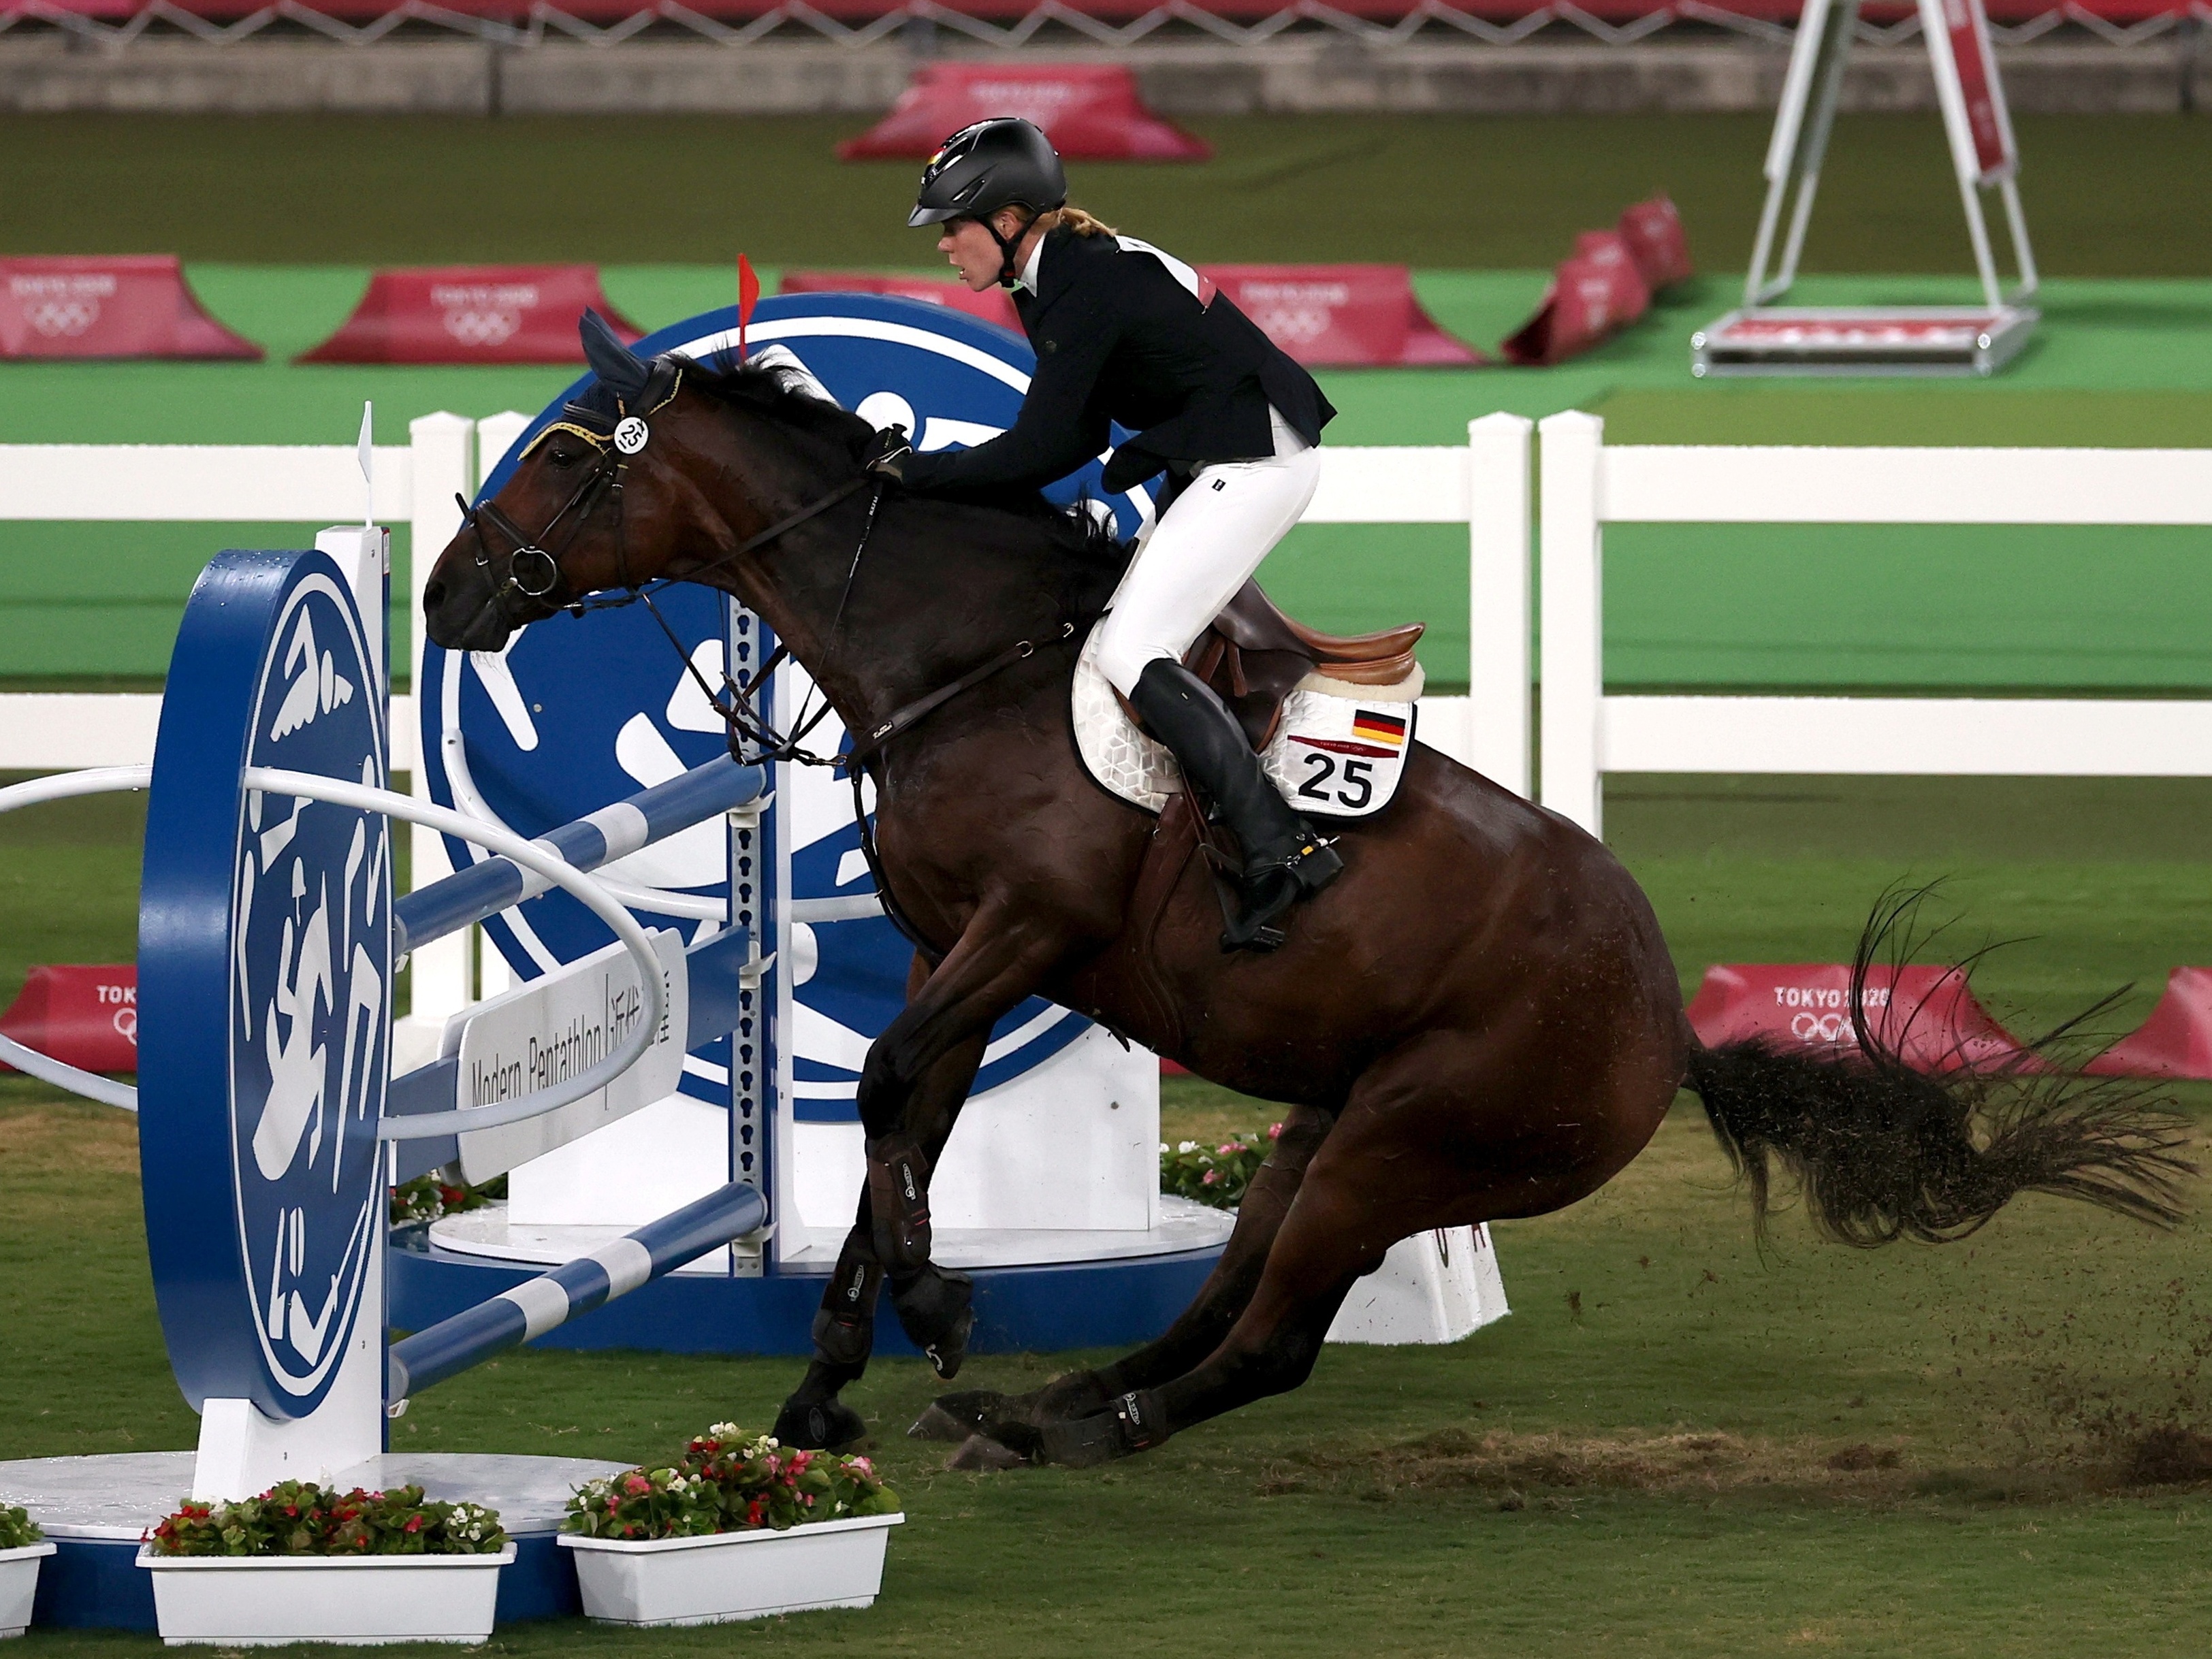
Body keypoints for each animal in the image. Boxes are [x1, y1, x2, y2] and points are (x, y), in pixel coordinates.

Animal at [422, 332, 2185, 1477]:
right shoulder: (954, 946)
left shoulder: (1025, 930)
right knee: (1223, 1300)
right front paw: (839, 1377)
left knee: (1268, 1341)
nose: (447, 594)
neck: (957, 654)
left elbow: (886, 1088)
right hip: (1324, 1130)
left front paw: (919, 1313)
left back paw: (1080, 1432)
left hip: (1407, 1142)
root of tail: (1668, 1028)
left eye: (567, 454)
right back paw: (1043, 1406)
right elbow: (903, 1110)